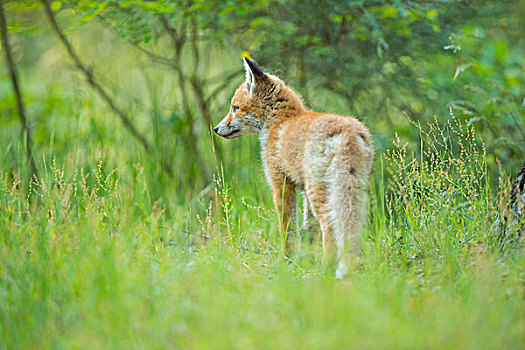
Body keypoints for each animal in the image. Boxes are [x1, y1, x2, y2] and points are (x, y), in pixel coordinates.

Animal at [213, 57, 372, 278]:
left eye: (235, 107)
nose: (215, 128)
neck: (281, 121)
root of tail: (348, 131)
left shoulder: (281, 184)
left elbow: (287, 229)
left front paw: (286, 261)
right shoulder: (302, 189)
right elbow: (308, 231)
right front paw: (304, 260)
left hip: (320, 191)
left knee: (329, 226)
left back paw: (328, 269)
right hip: (352, 190)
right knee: (350, 226)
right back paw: (354, 267)